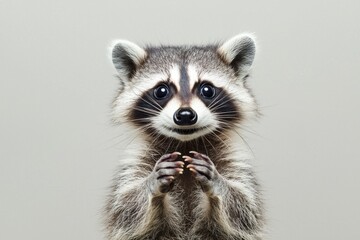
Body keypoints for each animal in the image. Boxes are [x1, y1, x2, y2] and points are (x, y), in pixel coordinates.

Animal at [104, 33, 264, 240]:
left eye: (207, 90)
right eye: (161, 91)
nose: (186, 115)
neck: (185, 145)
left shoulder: (235, 164)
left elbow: (243, 210)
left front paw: (218, 184)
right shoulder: (135, 165)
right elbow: (128, 211)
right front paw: (151, 185)